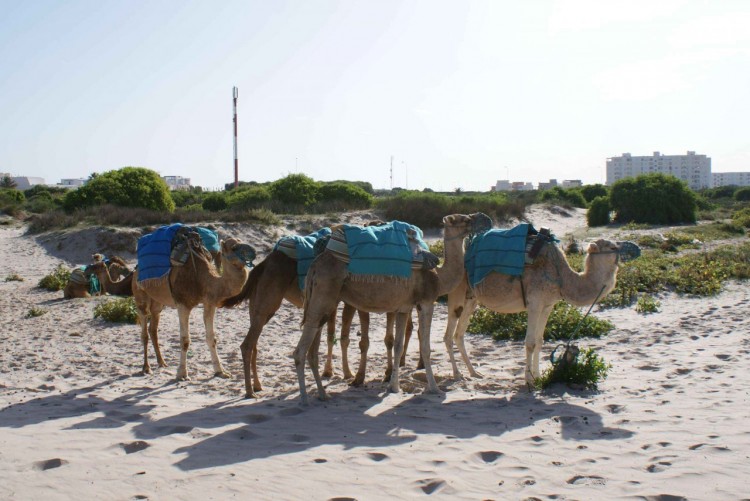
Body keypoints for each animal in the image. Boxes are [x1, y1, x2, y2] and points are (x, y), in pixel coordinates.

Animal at [132, 236, 256, 376]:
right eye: (234, 247)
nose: (254, 251)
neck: (204, 279)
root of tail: (135, 269)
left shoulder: (209, 302)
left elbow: (211, 338)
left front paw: (220, 371)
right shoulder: (183, 304)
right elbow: (185, 340)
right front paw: (182, 374)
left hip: (157, 302)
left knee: (153, 328)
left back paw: (162, 362)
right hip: (140, 294)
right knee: (144, 330)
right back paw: (146, 368)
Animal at [290, 213, 478, 404]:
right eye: (464, 219)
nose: (480, 219)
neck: (439, 279)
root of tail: (315, 264)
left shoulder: (404, 308)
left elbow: (398, 345)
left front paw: (394, 387)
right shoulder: (426, 302)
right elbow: (425, 347)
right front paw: (433, 388)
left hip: (322, 302)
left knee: (312, 349)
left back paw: (323, 394)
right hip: (323, 296)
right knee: (300, 351)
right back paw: (305, 399)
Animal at [446, 236, 624, 384]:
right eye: (612, 247)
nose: (625, 250)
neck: (561, 277)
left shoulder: (547, 305)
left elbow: (539, 341)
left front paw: (538, 376)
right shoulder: (535, 303)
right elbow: (530, 342)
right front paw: (529, 379)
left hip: (471, 298)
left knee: (459, 334)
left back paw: (474, 373)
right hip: (457, 290)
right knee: (448, 334)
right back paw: (456, 374)